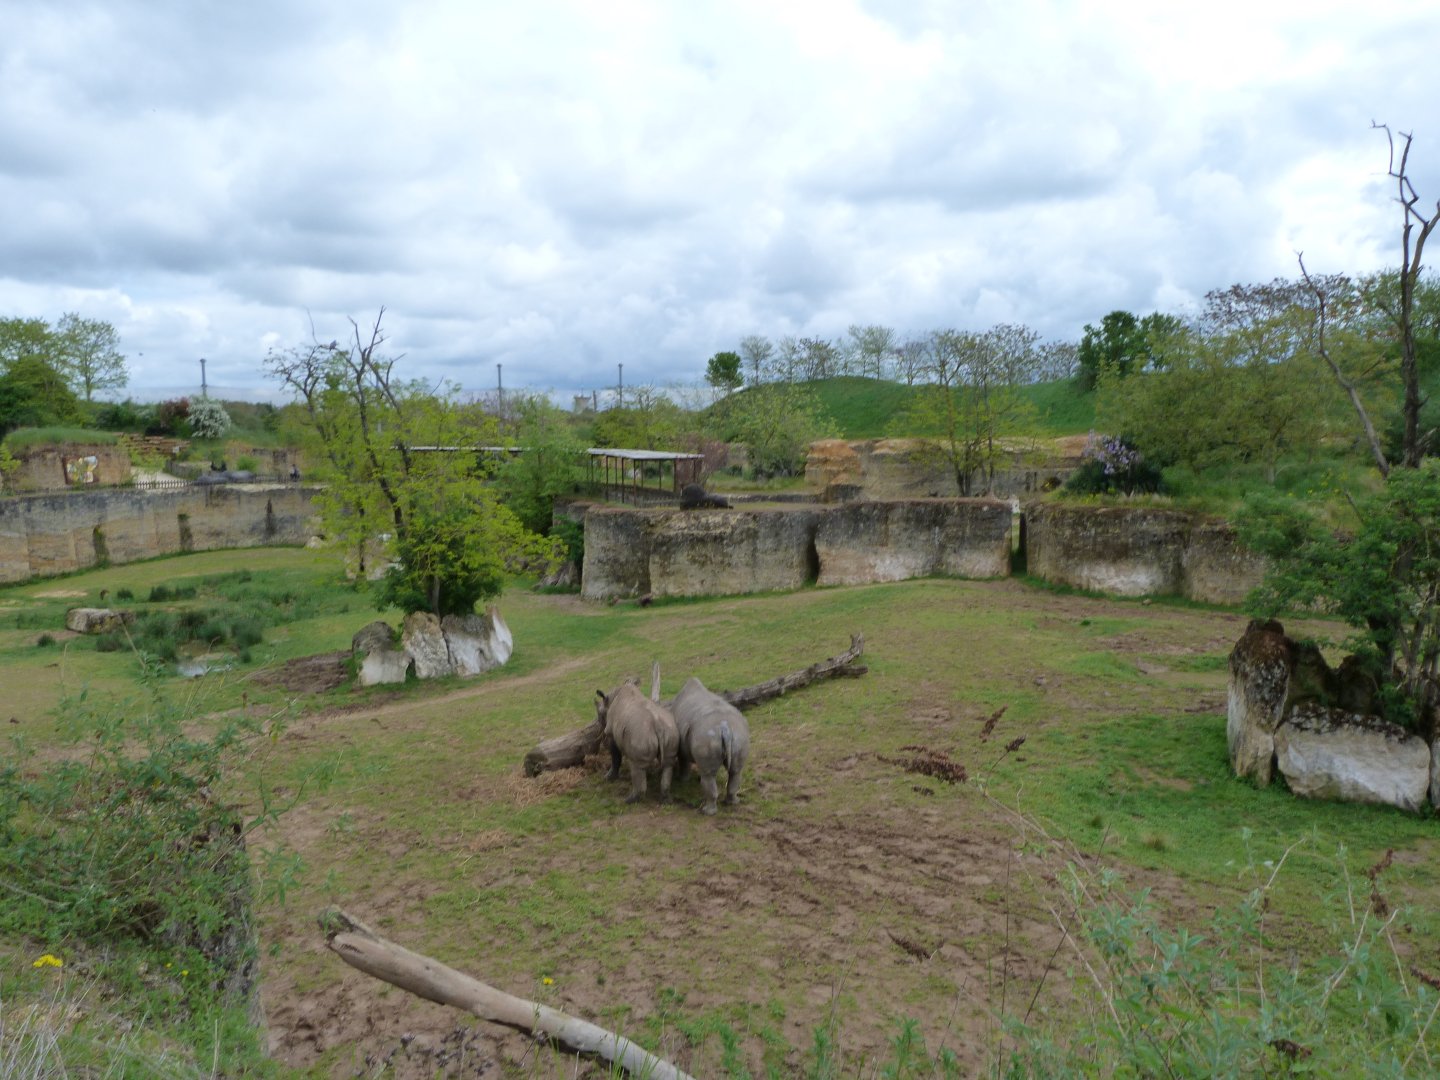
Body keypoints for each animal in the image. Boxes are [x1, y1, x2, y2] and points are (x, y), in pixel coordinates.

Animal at [595, 670, 679, 803]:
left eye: (599, 713)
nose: (598, 722)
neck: (611, 698)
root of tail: (658, 727)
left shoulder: (611, 732)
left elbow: (615, 756)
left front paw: (609, 777)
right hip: (670, 732)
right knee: (668, 763)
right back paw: (667, 800)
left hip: (640, 736)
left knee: (636, 765)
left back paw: (628, 801)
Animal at [671, 676, 750, 815]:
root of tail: (725, 727)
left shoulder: (682, 747)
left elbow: (684, 762)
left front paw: (682, 780)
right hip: (740, 735)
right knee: (736, 771)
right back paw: (733, 802)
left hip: (707, 736)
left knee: (708, 775)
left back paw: (707, 812)